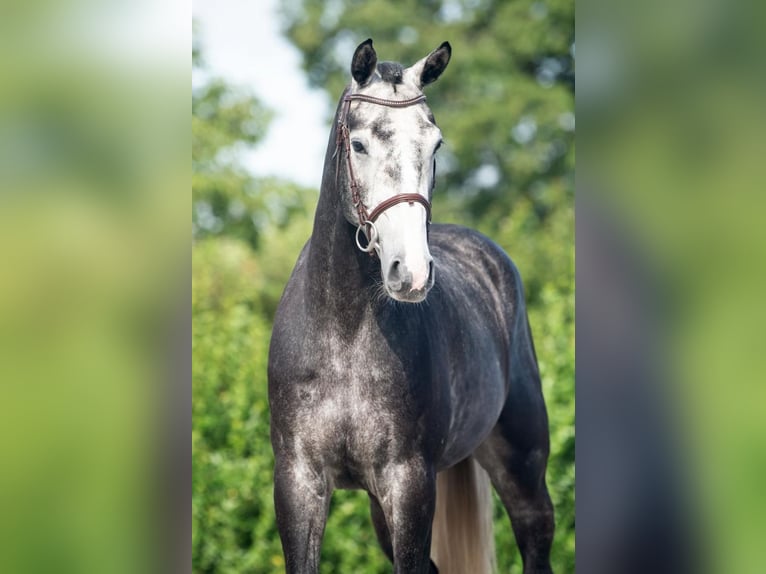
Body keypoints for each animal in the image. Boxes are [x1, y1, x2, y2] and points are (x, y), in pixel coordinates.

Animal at [270, 40, 560, 574]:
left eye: (436, 144)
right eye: (359, 145)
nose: (412, 272)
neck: (343, 333)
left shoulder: (409, 485)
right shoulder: (298, 484)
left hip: (523, 470)